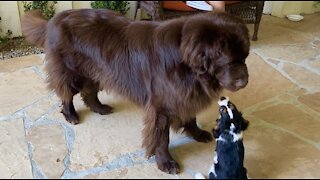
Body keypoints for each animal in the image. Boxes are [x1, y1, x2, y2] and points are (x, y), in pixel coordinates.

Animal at [22, 9, 251, 174]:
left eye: (245, 56)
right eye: (228, 60)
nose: (245, 81)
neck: (188, 65)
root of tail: (54, 19)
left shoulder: (183, 95)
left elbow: (190, 117)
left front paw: (197, 133)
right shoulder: (161, 106)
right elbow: (161, 138)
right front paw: (165, 163)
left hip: (98, 70)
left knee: (89, 92)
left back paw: (100, 108)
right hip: (71, 71)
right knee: (66, 93)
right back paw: (70, 115)